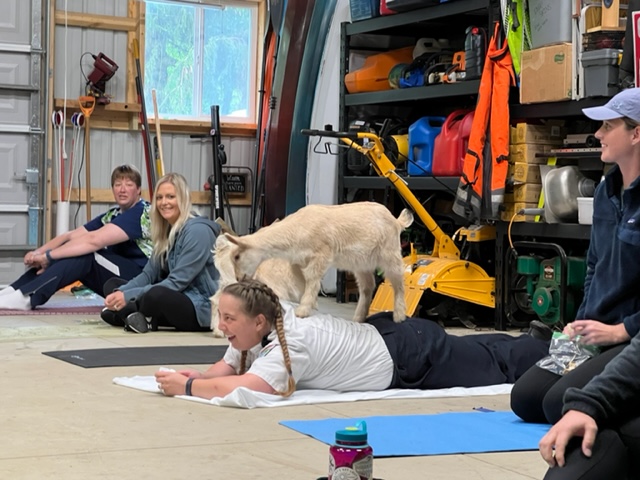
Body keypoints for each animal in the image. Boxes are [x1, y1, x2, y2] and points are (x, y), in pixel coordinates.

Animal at [220, 201, 412, 324]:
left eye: (236, 257)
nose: (239, 278)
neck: (296, 229)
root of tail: (396, 221)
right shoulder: (298, 262)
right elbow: (301, 282)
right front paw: (307, 304)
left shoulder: (321, 255)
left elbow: (312, 280)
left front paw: (303, 310)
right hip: (361, 263)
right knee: (367, 287)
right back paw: (359, 318)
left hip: (390, 253)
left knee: (398, 282)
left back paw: (399, 315)